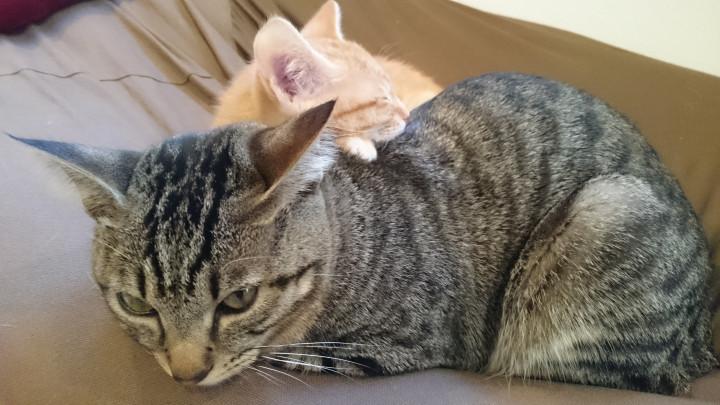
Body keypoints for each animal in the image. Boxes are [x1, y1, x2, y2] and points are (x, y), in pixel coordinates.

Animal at [12, 73, 717, 394]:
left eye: (238, 300)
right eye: (136, 303)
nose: (186, 376)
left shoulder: (420, 337)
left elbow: (298, 354)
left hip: (605, 212)